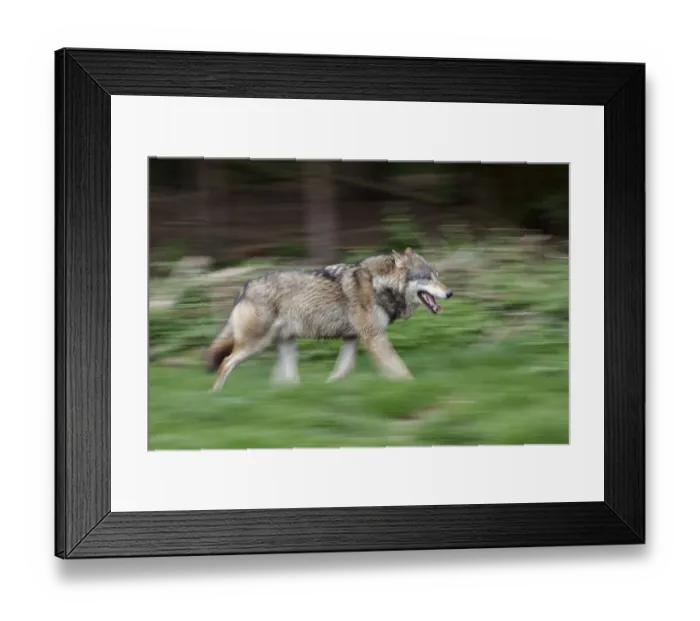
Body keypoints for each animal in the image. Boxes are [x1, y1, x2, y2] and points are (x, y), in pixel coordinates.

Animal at [204, 247, 453, 391]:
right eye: (428, 278)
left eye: (437, 276)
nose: (450, 293)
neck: (378, 285)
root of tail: (244, 287)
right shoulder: (374, 337)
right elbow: (399, 369)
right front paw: (414, 386)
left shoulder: (352, 339)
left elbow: (341, 371)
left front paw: (329, 389)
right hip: (254, 345)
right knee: (226, 362)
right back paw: (216, 396)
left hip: (286, 346)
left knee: (284, 380)